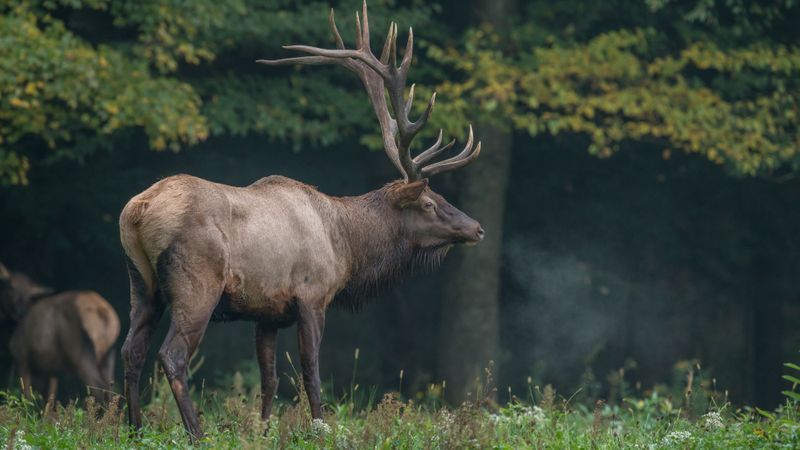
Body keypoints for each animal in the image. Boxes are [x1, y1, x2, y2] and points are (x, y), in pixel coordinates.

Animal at [0, 260, 120, 404]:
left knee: (99, 387)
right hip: (109, 353)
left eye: (30, 295)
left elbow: (27, 395)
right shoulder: (52, 370)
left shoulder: (21, 356)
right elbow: (49, 401)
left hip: (79, 352)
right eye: (10, 287)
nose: (19, 310)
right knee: (110, 389)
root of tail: (102, 313)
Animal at [119, 1, 482, 440]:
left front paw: (262, 432)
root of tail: (137, 210)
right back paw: (196, 433)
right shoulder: (312, 295)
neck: (346, 246)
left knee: (131, 350)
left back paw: (134, 429)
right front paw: (320, 425)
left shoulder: (267, 313)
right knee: (171, 355)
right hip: (196, 282)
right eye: (429, 202)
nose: (477, 227)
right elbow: (311, 371)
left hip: (141, 283)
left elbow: (269, 378)